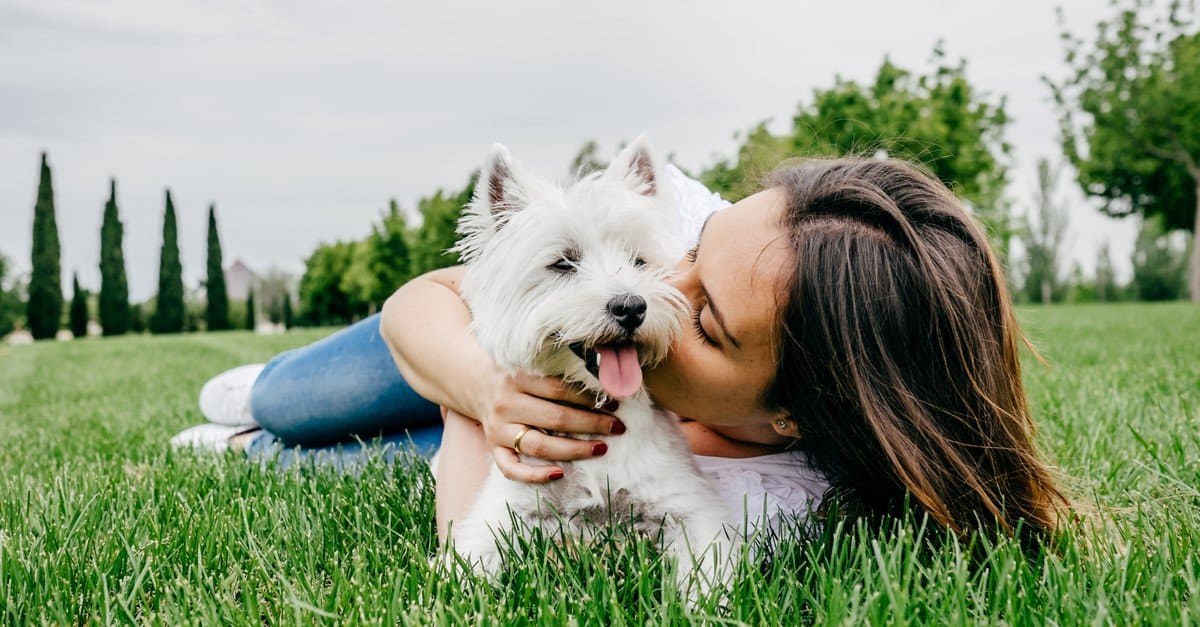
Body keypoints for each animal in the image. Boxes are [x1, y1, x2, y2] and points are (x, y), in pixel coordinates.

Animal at [448, 136, 734, 590]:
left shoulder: (689, 505)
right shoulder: (505, 511)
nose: (631, 306)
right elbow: (463, 568)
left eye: (638, 260)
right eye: (563, 263)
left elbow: (707, 571)